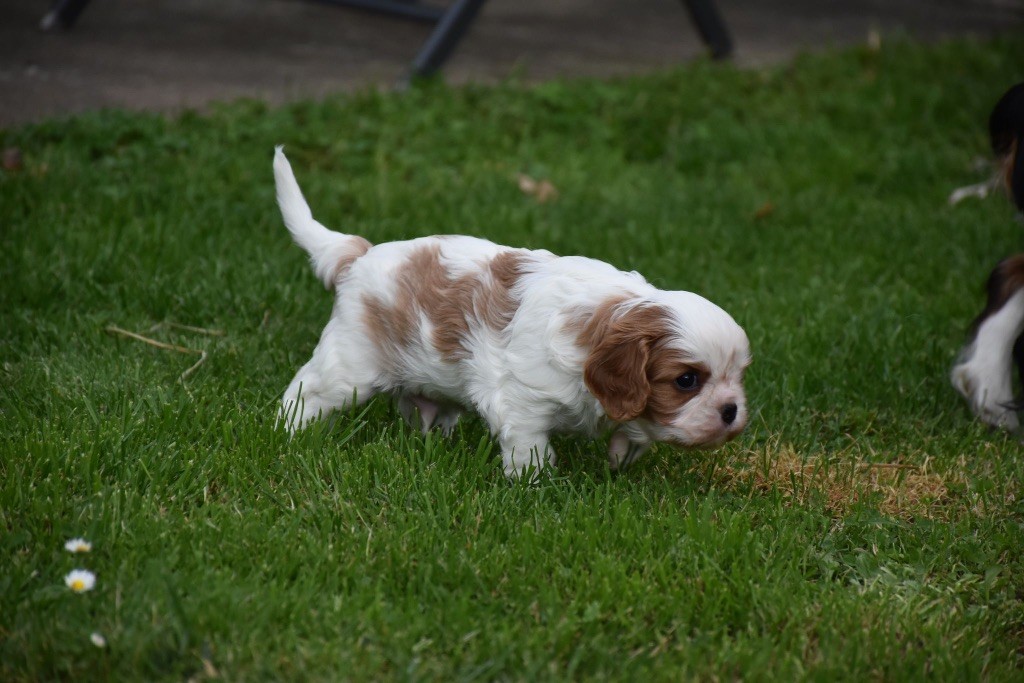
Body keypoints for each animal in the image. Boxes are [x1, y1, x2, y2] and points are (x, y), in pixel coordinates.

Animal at [274, 147, 753, 479]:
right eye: (687, 380)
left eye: (739, 376)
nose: (732, 410)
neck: (605, 317)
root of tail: (358, 253)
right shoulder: (521, 396)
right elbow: (530, 445)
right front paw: (533, 482)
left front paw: (623, 455)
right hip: (352, 361)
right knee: (309, 390)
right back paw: (287, 431)